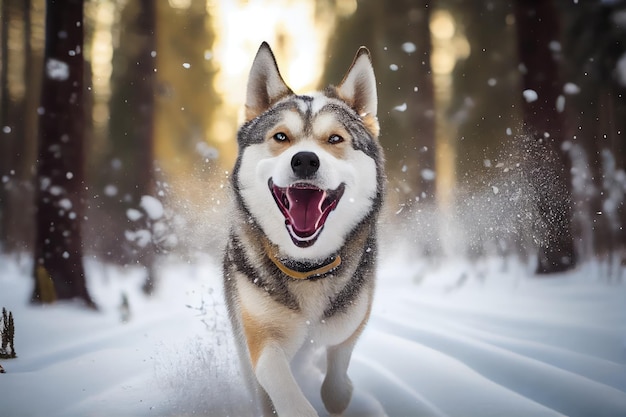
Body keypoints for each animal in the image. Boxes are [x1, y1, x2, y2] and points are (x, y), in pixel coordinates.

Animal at [222, 42, 382, 416]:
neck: (308, 268)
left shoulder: (353, 318)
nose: (305, 160)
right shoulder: (261, 334)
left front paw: (340, 394)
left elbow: (339, 359)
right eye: (281, 136)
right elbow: (278, 381)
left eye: (335, 138)